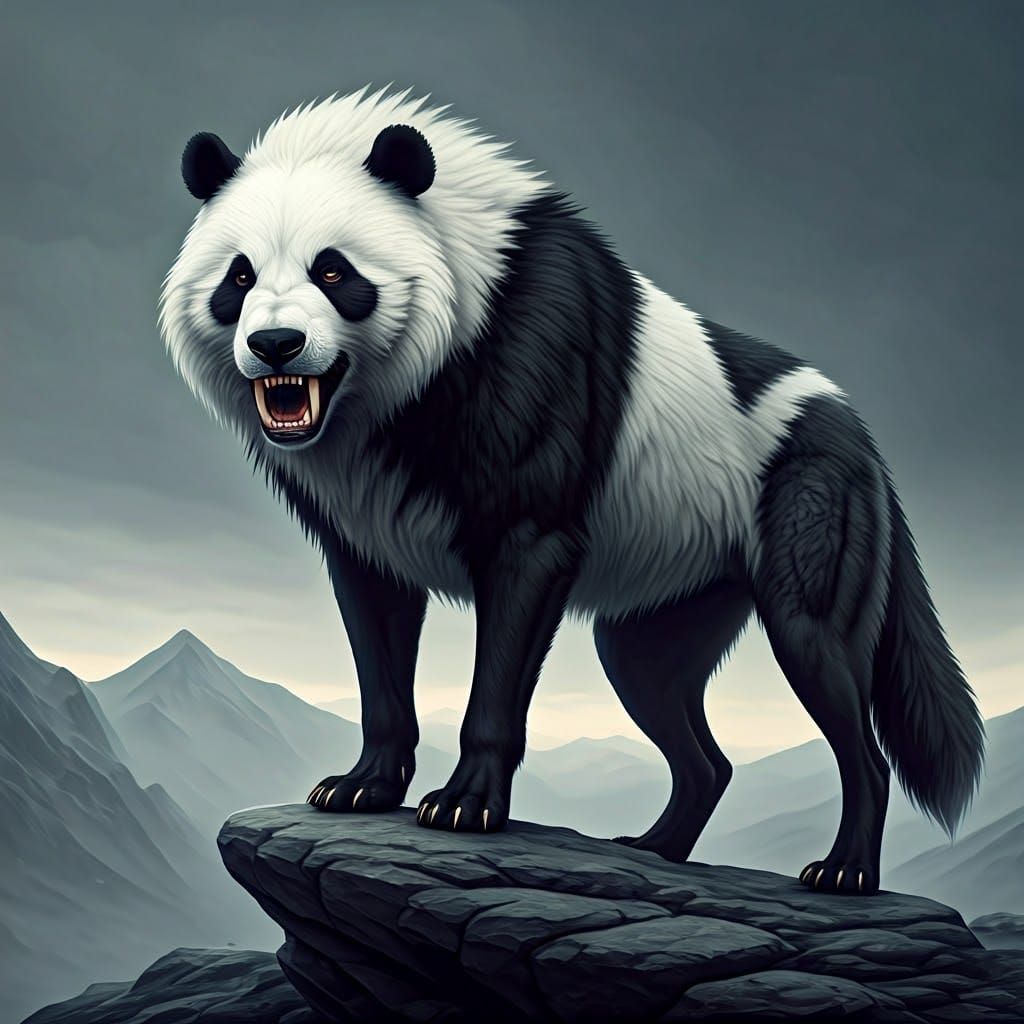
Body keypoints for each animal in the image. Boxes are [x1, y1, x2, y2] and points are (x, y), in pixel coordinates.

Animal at [161, 86, 983, 894]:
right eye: (239, 277)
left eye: (333, 272)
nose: (276, 346)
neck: (402, 397)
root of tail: (863, 437)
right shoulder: (363, 520)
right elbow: (378, 649)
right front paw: (361, 787)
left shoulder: (534, 393)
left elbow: (508, 636)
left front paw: (462, 807)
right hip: (673, 590)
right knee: (677, 713)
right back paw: (655, 847)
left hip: (804, 504)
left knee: (835, 682)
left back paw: (843, 870)